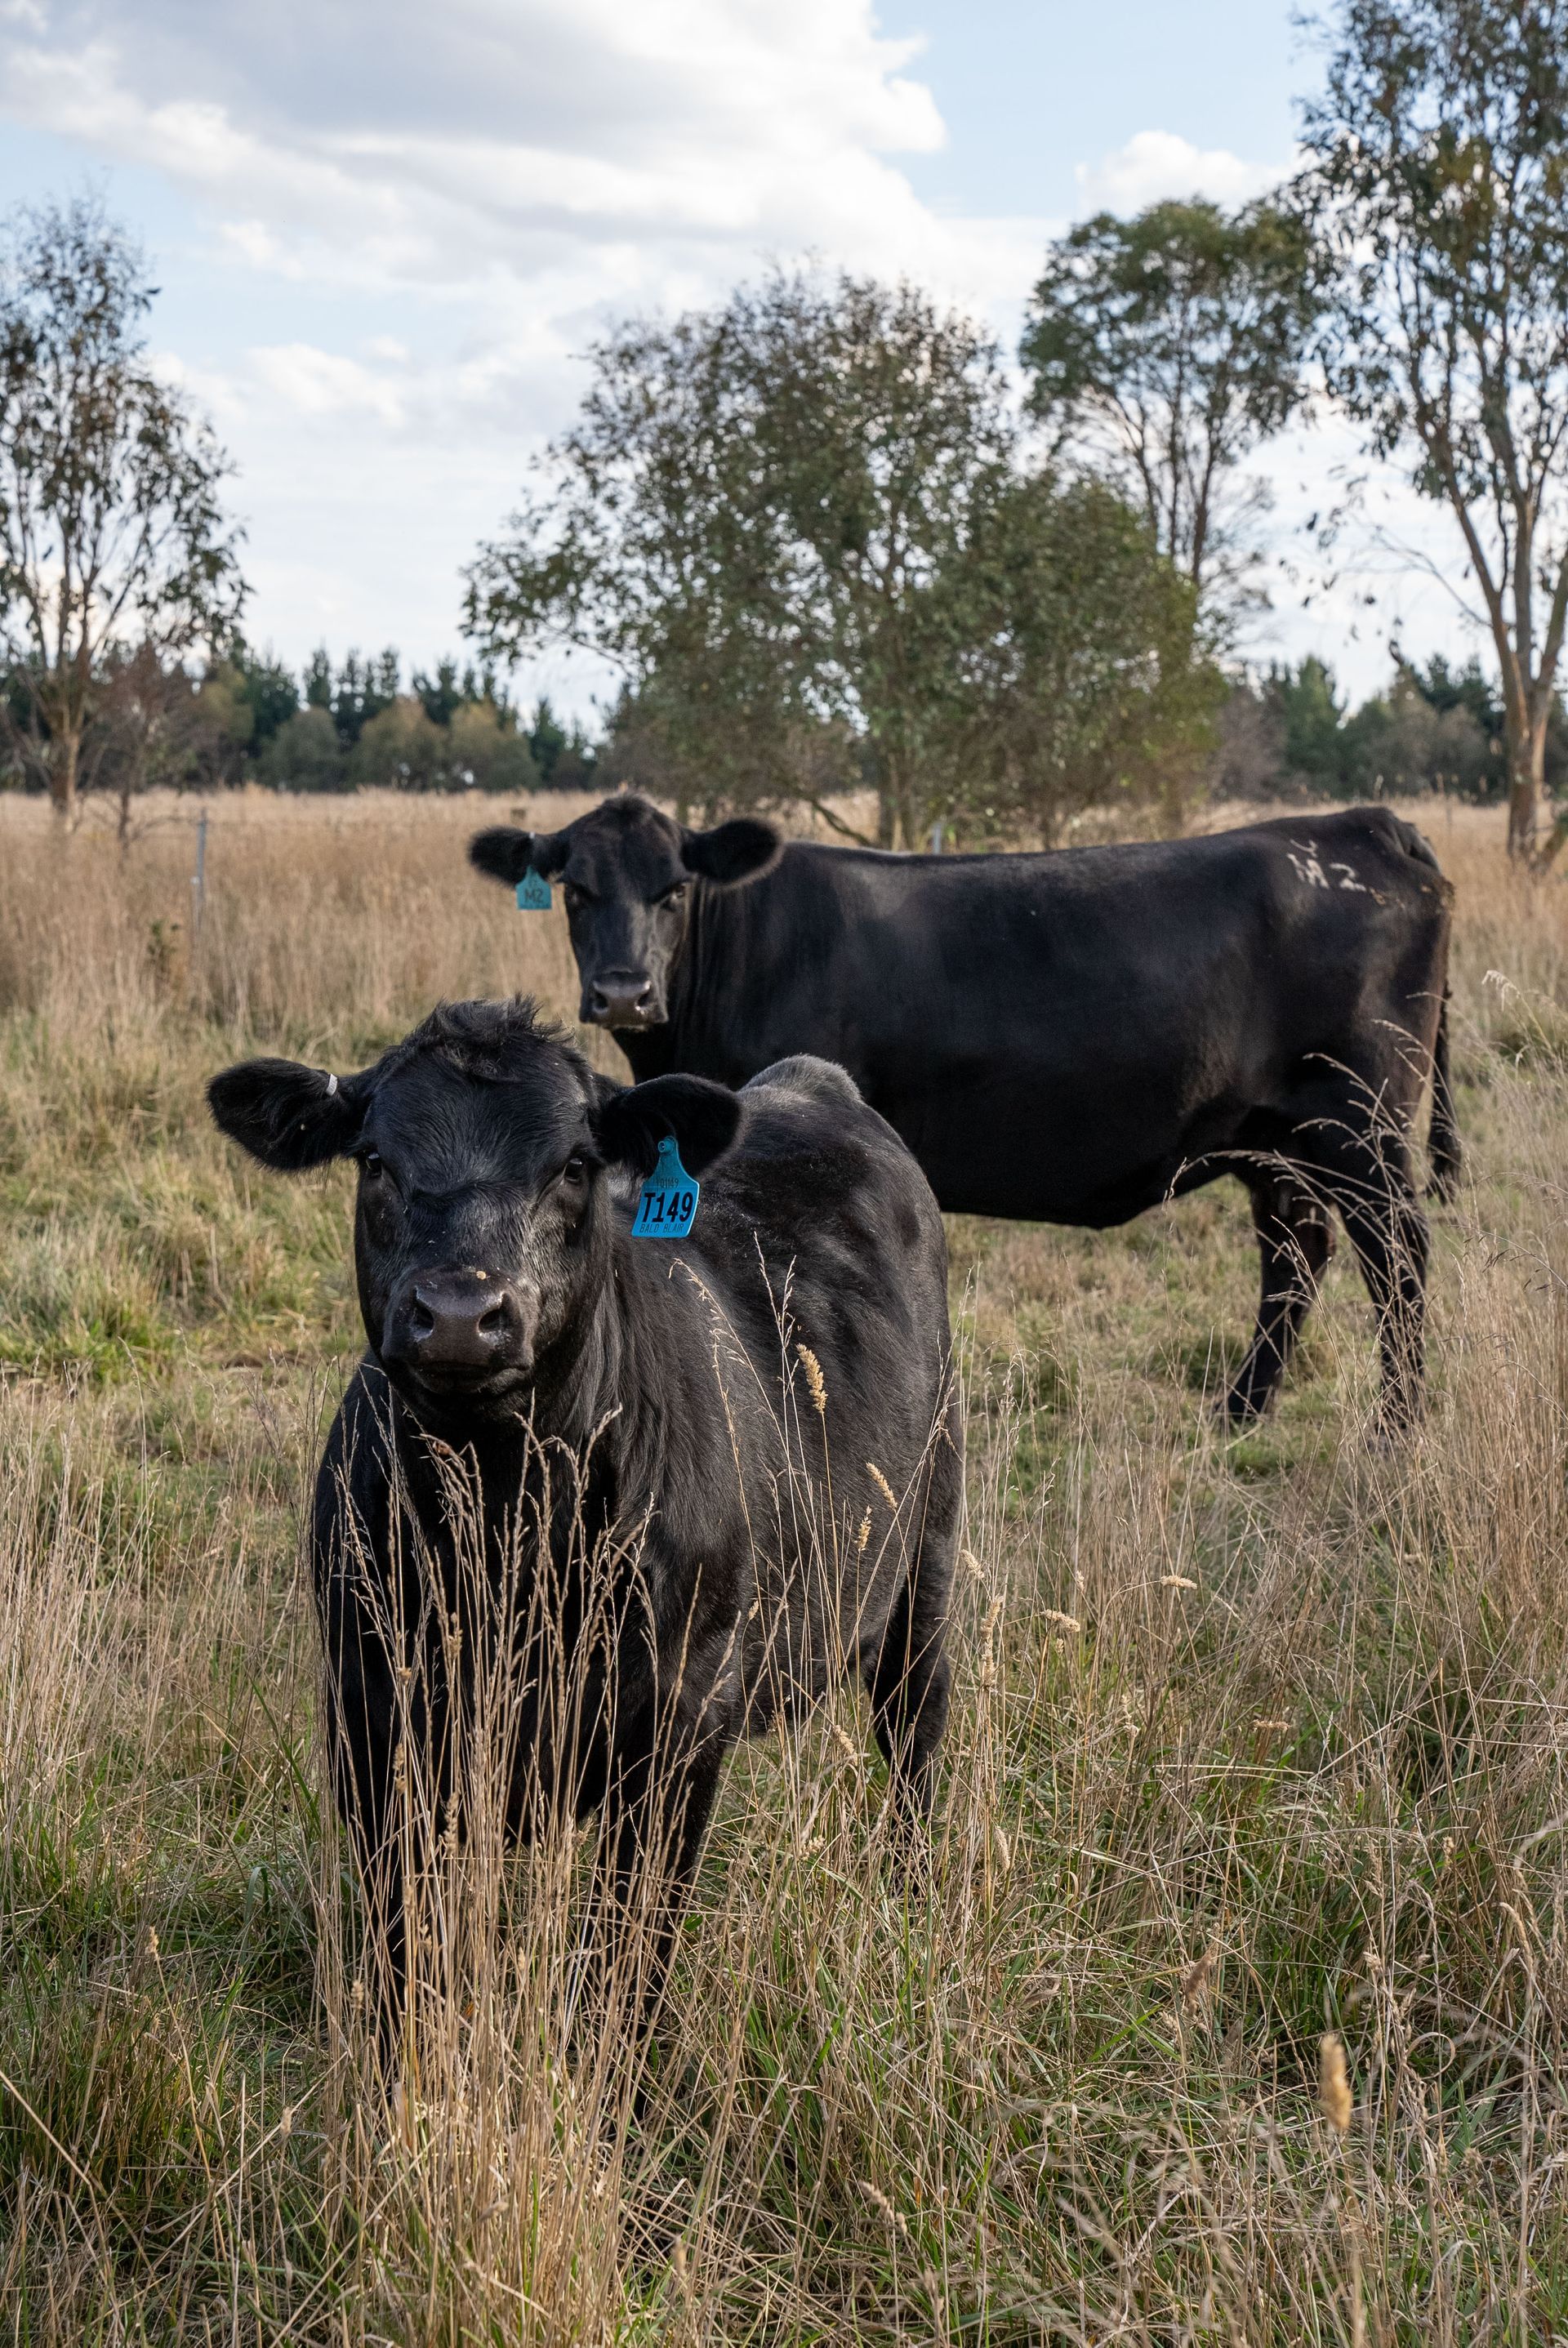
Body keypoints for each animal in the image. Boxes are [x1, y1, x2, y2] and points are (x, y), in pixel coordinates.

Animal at [207, 1000, 958, 2049]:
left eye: (573, 1165)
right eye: (375, 1162)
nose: (459, 1311)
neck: (504, 1520)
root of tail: (810, 1080)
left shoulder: (683, 1723)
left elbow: (623, 1962)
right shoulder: (372, 1714)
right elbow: (409, 1946)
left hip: (925, 1560)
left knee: (913, 1740)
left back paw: (910, 1914)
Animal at [470, 795, 1458, 1430]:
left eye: (674, 888)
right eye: (576, 889)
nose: (624, 990)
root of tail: (1365, 823)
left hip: (1360, 1122)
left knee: (1395, 1253)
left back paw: (1396, 1425)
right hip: (1275, 1137)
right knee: (1297, 1249)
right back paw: (1242, 1409)